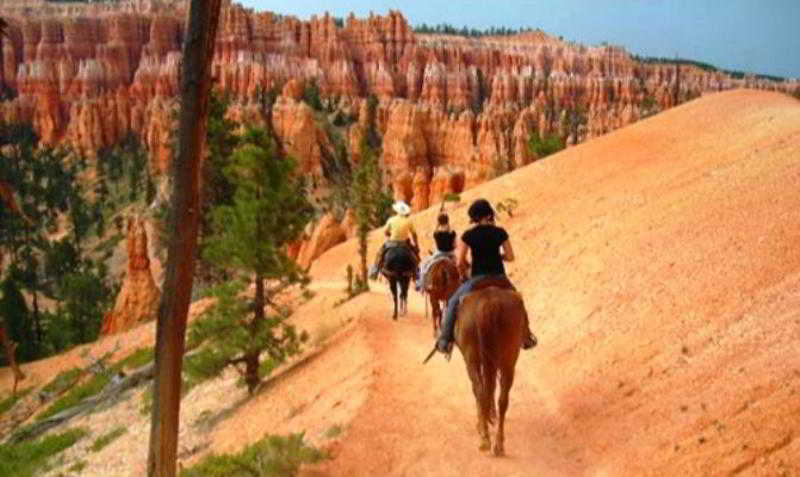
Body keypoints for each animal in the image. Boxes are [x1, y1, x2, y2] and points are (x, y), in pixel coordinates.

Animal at [454, 284, 528, 456]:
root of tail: (490, 305)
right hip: (508, 361)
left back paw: (485, 437)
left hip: (473, 361)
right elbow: (491, 388)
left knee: (480, 392)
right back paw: (498, 443)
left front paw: (482, 422)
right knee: (502, 398)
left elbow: (482, 389)